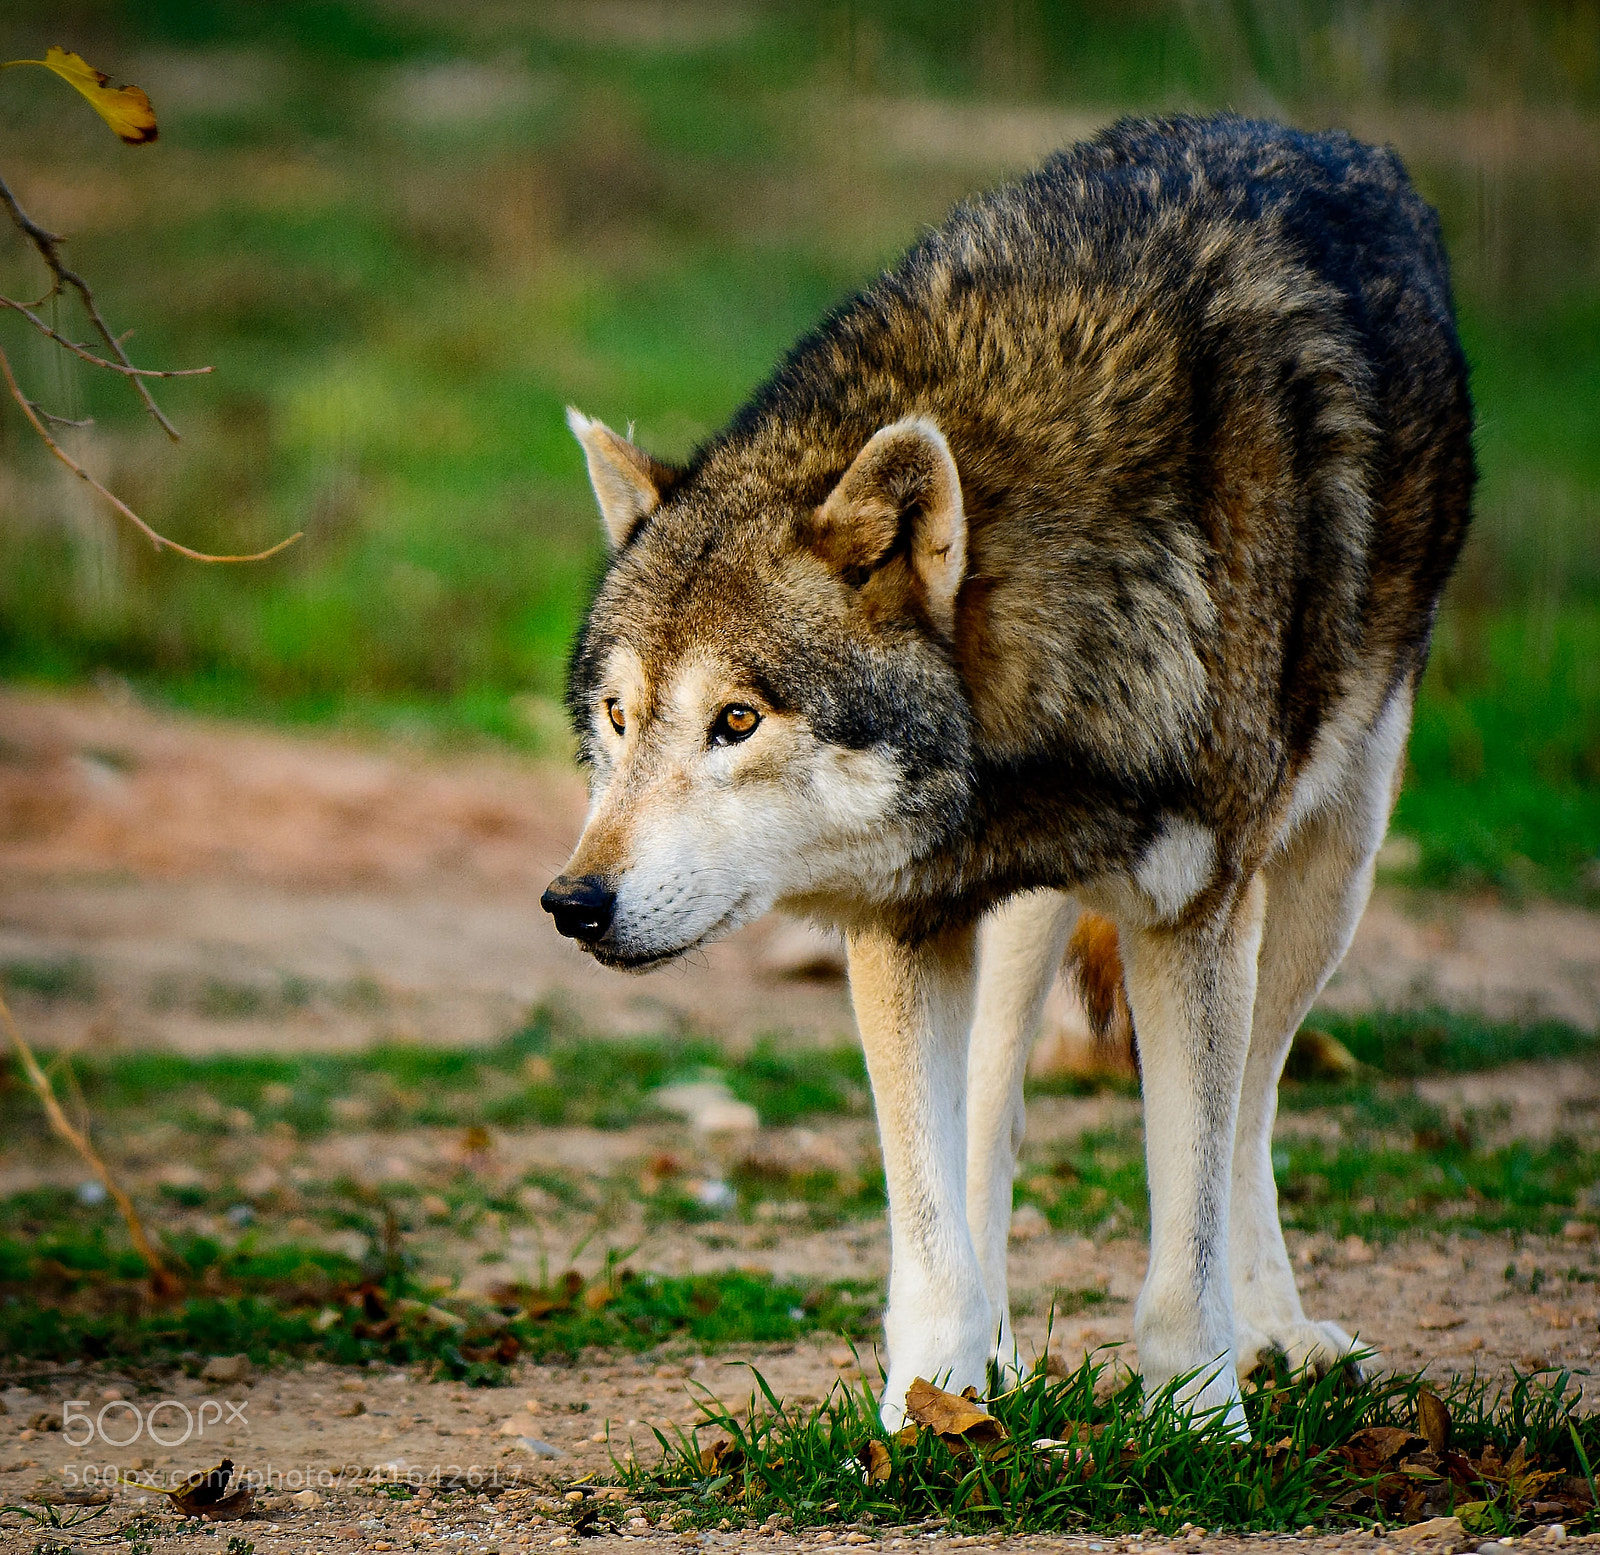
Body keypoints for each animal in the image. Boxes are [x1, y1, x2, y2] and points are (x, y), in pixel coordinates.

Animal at [542, 115, 1473, 1432]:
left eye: (735, 720)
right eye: (618, 720)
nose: (571, 903)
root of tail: (1324, 136)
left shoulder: (1192, 913)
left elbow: (1187, 1217)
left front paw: (1199, 1414)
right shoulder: (900, 919)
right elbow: (927, 1222)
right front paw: (926, 1415)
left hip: (1323, 875)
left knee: (1250, 1107)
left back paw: (1277, 1332)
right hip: (1024, 929)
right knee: (990, 1114)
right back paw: (997, 1363)